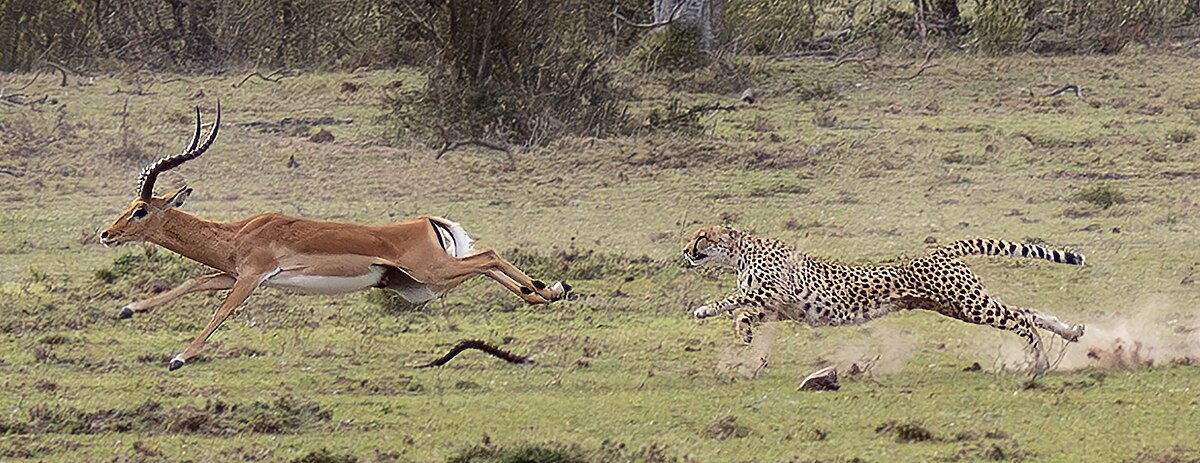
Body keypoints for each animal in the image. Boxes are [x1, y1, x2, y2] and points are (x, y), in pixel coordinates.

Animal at [100, 103, 570, 371]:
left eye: (141, 210)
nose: (106, 234)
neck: (237, 234)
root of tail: (426, 221)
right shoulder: (230, 273)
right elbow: (193, 282)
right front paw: (129, 309)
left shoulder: (251, 277)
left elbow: (221, 311)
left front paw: (179, 357)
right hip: (421, 284)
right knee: (487, 263)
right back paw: (546, 292)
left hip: (431, 274)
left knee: (488, 255)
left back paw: (549, 289)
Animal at [684, 225, 1087, 376]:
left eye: (701, 236)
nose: (686, 250)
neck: (739, 252)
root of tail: (939, 252)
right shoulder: (780, 308)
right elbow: (746, 314)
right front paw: (745, 332)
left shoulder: (772, 291)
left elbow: (733, 297)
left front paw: (702, 309)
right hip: (958, 305)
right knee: (1026, 311)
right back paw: (1071, 333)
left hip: (969, 304)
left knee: (1021, 319)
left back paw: (1041, 361)